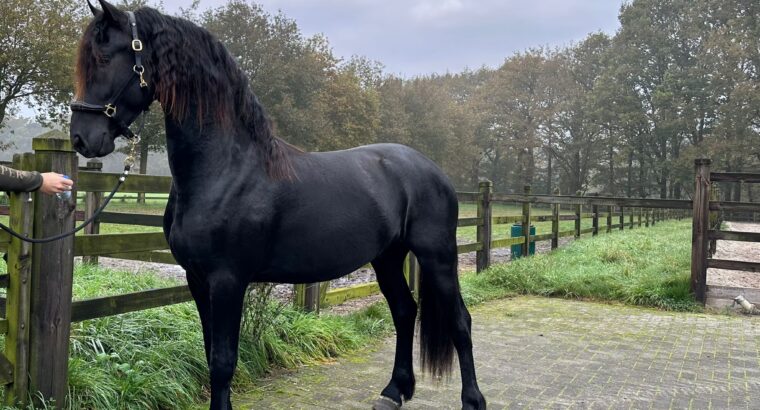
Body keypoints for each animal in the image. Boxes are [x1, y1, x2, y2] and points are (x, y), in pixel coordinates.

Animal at [72, 1, 486, 408]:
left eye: (106, 57)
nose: (81, 139)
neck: (226, 168)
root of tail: (431, 169)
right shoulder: (197, 279)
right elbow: (210, 354)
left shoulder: (227, 279)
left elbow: (223, 361)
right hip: (387, 256)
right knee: (404, 311)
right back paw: (394, 391)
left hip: (437, 256)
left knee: (459, 321)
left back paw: (472, 399)